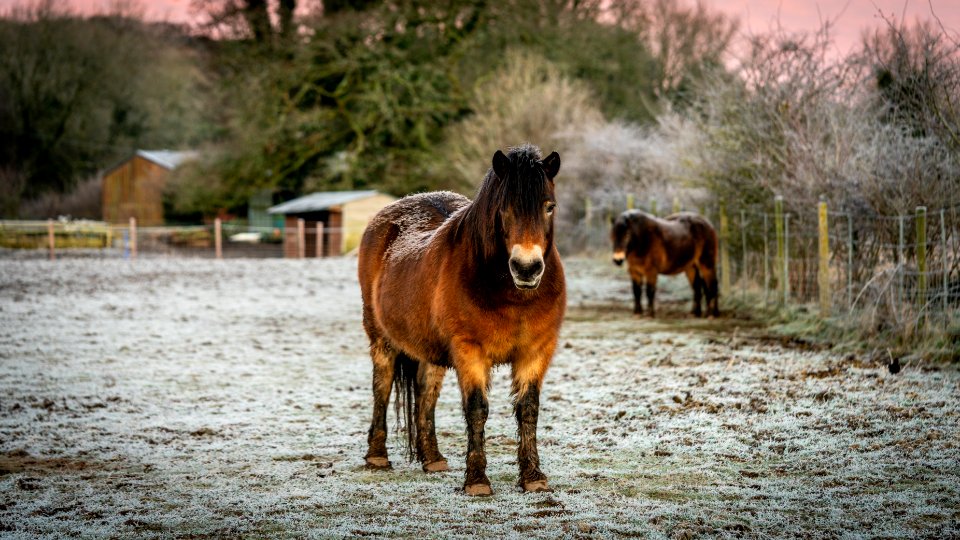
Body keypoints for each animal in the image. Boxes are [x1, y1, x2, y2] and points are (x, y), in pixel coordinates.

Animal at [356, 144, 564, 498]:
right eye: (504, 209)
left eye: (549, 207)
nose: (527, 268)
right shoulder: (470, 350)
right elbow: (477, 409)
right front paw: (477, 481)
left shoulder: (536, 351)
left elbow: (528, 409)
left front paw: (533, 477)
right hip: (380, 339)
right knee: (381, 388)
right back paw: (377, 456)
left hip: (430, 353)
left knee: (426, 395)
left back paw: (432, 458)